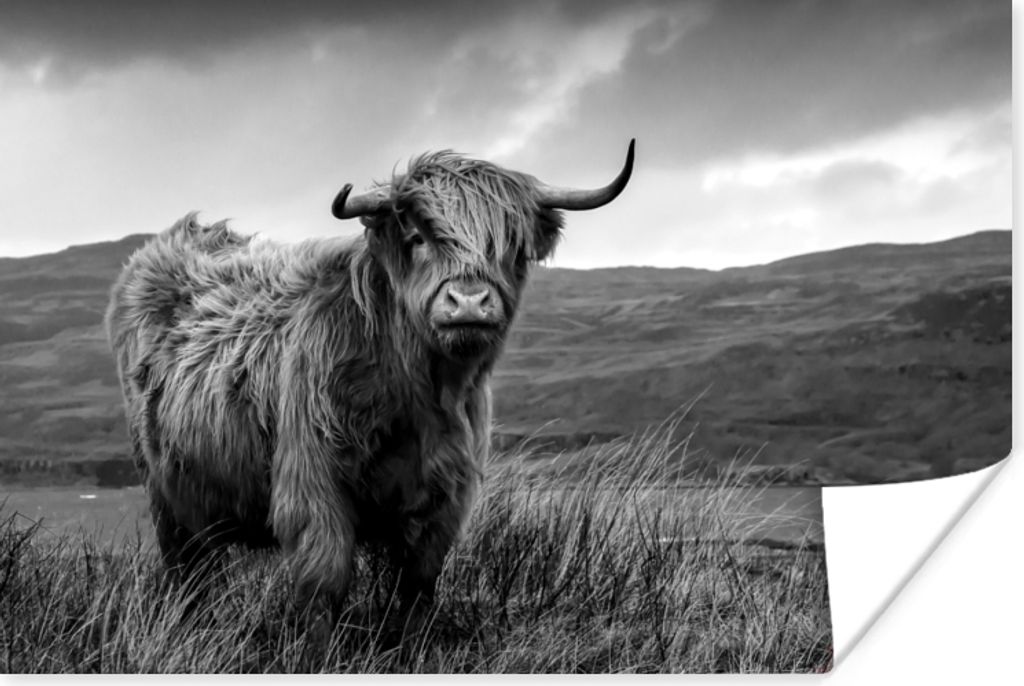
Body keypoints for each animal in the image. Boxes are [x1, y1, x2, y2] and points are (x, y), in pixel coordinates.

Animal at [105, 140, 635, 617]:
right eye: (419, 237)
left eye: (512, 246)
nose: (468, 302)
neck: (419, 394)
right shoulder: (313, 485)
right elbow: (323, 587)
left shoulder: (443, 500)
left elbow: (417, 591)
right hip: (166, 495)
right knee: (188, 572)